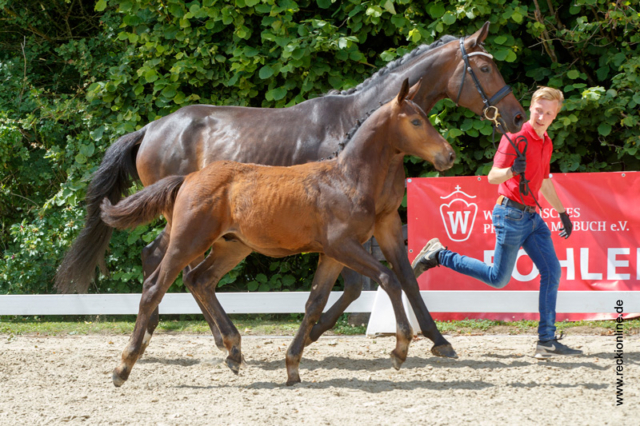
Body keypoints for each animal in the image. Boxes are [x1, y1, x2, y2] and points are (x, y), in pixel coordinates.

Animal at [102, 80, 456, 386]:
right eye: (415, 121)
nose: (448, 154)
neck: (347, 179)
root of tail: (187, 179)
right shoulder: (343, 245)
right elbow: (389, 278)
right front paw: (400, 349)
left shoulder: (332, 253)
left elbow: (315, 302)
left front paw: (292, 365)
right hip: (187, 241)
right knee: (154, 287)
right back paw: (124, 366)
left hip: (232, 247)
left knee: (200, 280)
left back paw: (233, 350)